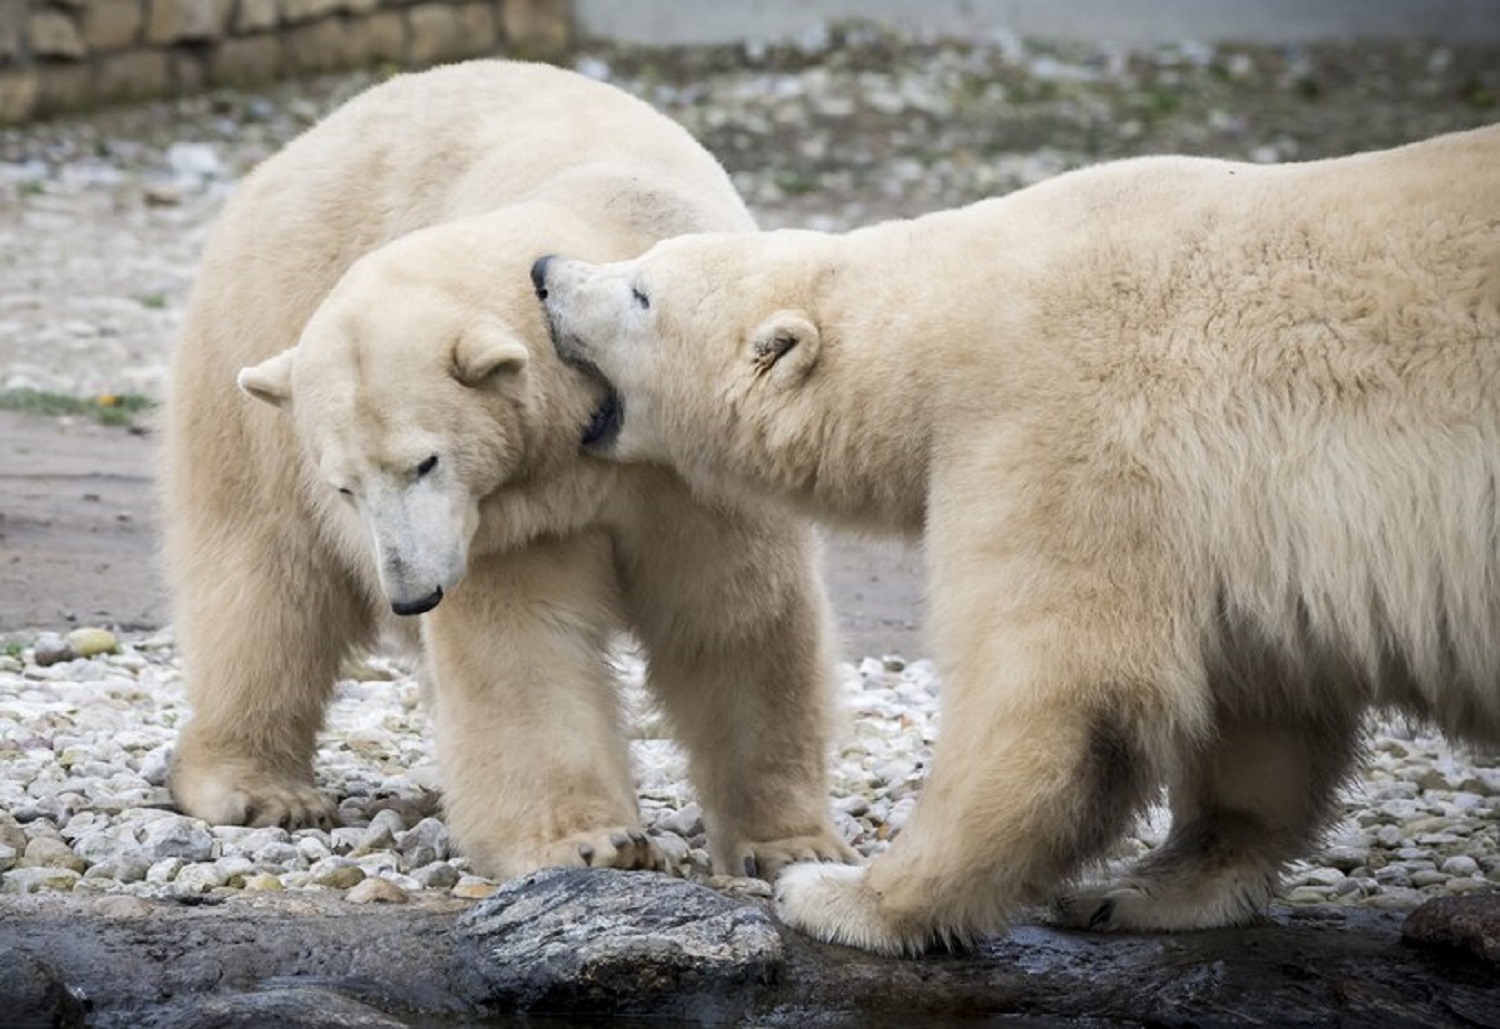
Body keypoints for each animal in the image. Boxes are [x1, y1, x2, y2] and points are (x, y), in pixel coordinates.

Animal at [161, 59, 854, 882]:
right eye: (346, 485)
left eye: (424, 461)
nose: (412, 594)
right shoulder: (511, 513)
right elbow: (525, 643)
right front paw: (592, 841)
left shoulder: (689, 461)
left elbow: (735, 616)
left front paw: (791, 843)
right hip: (251, 352)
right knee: (266, 581)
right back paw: (258, 790)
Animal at [533, 123, 1500, 952]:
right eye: (638, 264)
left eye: (640, 291)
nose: (544, 271)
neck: (945, 321)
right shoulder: (1237, 525)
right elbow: (1263, 700)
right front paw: (1143, 888)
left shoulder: (1060, 426)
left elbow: (1051, 692)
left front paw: (847, 896)